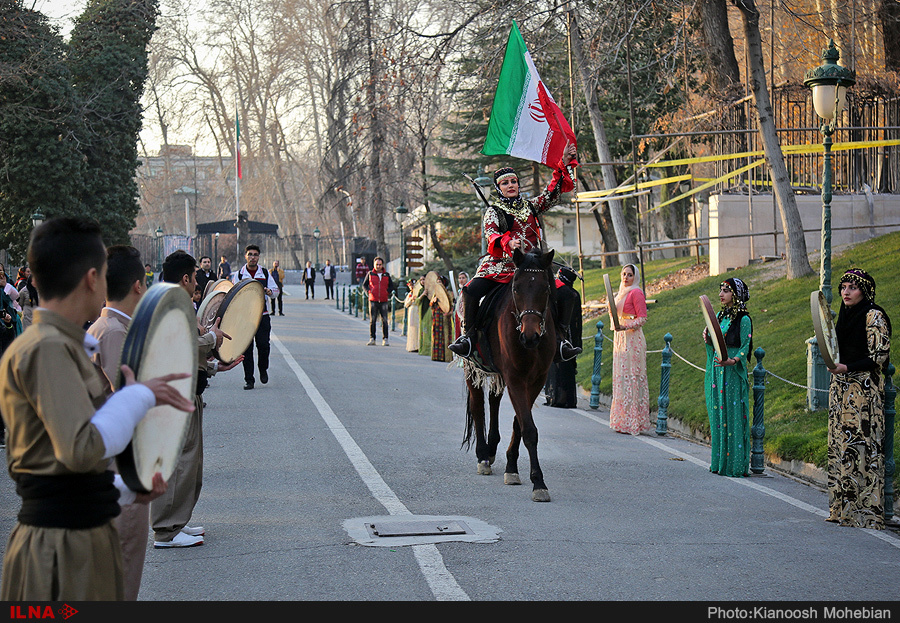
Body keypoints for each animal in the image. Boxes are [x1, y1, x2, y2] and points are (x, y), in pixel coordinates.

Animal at [464, 249, 556, 502]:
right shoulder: (515, 377)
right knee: (478, 406)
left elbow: (519, 423)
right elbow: (529, 429)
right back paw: (482, 455)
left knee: (494, 401)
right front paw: (538, 482)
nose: (530, 336)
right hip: (471, 368)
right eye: (516, 288)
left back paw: (492, 448)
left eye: (545, 288)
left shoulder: (536, 380)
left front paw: (512, 467)